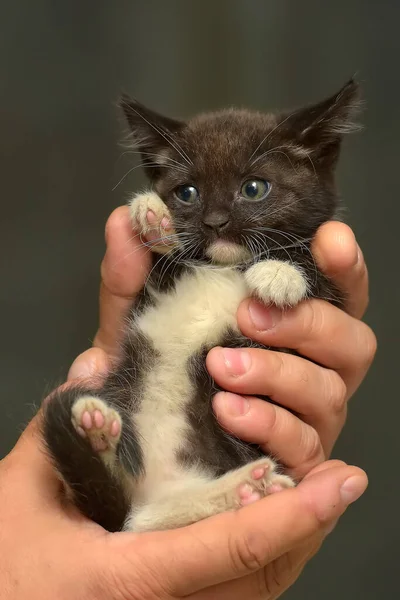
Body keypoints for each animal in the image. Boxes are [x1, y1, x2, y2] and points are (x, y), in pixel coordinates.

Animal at [43, 79, 360, 536]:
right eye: (186, 193)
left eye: (254, 188)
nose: (215, 221)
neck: (226, 268)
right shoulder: (156, 288)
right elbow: (161, 261)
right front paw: (152, 217)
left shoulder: (334, 301)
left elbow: (319, 275)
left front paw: (280, 274)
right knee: (133, 519)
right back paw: (96, 432)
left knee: (142, 519)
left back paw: (241, 488)